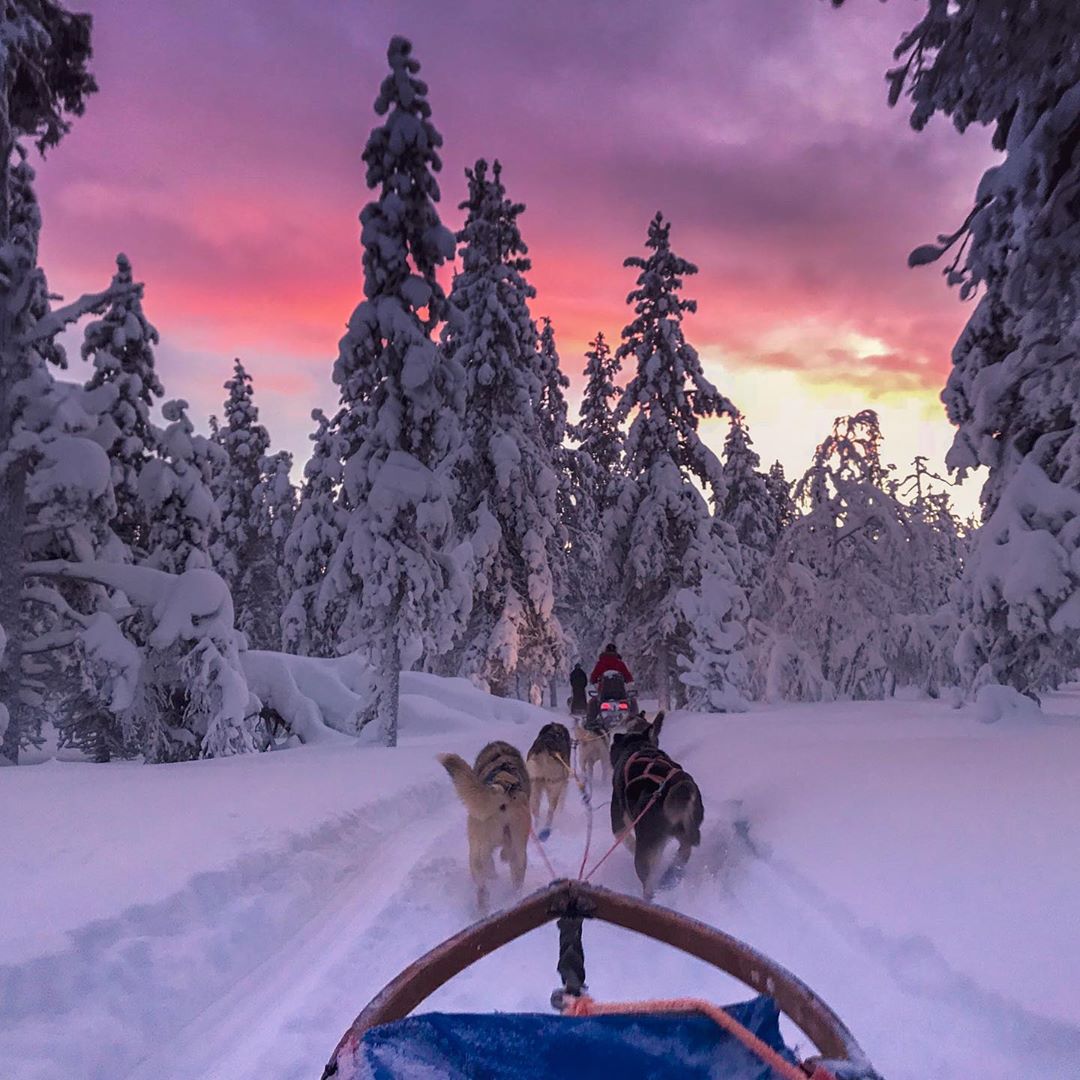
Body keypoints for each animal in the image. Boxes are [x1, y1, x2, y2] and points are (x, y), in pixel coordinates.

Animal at [613, 708, 704, 902]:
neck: (639, 745)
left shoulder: (618, 822)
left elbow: (625, 839)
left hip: (646, 850)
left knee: (648, 884)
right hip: (686, 832)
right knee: (684, 851)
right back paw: (670, 876)